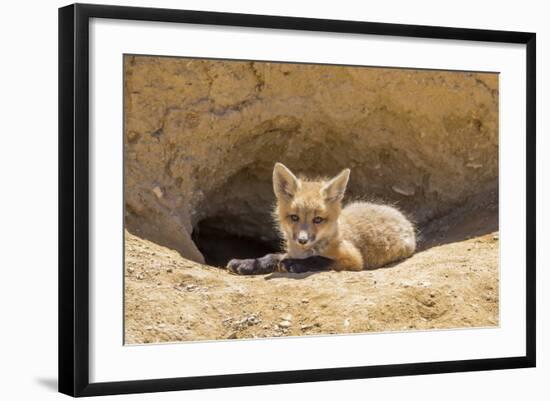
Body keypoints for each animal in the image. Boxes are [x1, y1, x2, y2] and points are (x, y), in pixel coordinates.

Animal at [226, 162, 416, 276]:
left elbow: (321, 259)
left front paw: (296, 265)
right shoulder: (290, 251)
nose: (302, 240)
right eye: (294, 217)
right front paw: (250, 263)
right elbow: (273, 256)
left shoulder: (354, 260)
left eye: (318, 220)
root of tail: (398, 213)